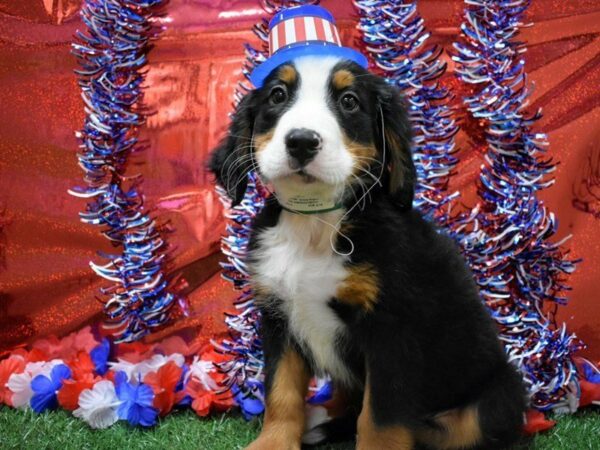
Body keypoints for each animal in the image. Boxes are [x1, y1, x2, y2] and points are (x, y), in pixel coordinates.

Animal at [210, 56, 524, 450]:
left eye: (349, 101)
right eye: (277, 96)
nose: (301, 141)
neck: (315, 224)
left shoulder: (392, 327)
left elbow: (380, 417)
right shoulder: (279, 316)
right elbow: (281, 392)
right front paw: (274, 443)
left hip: (497, 396)